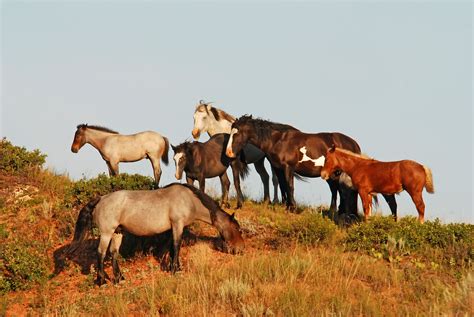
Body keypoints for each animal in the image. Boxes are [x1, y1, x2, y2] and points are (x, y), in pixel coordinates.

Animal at [66, 183, 244, 284]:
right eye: (237, 229)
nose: (240, 249)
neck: (189, 200)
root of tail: (101, 199)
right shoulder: (177, 225)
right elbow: (176, 246)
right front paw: (175, 270)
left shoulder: (173, 228)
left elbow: (171, 248)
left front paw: (174, 267)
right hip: (106, 233)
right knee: (101, 253)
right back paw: (101, 280)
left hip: (117, 232)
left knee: (114, 253)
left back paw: (119, 279)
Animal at [224, 115, 362, 211]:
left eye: (237, 133)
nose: (228, 152)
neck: (278, 141)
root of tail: (353, 143)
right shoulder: (278, 168)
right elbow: (283, 185)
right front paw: (286, 205)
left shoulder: (288, 167)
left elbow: (289, 186)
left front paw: (293, 207)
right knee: (337, 190)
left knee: (338, 190)